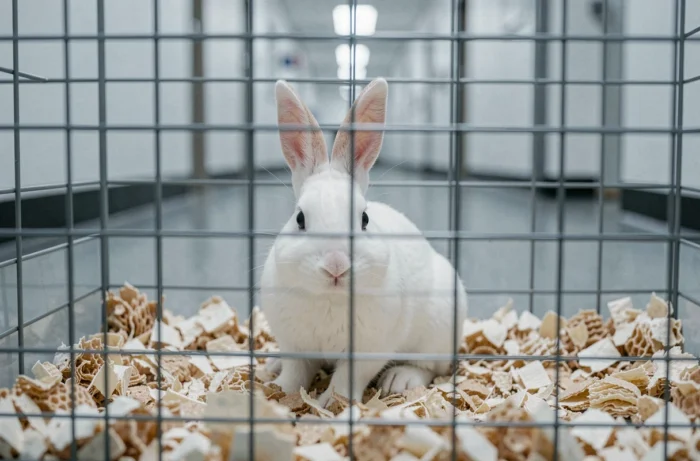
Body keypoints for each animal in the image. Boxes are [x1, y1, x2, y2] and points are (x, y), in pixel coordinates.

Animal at [260, 77, 468, 408]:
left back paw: (400, 379)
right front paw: (279, 393)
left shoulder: (366, 352)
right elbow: (296, 374)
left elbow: (346, 381)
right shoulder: (295, 345)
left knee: (430, 368)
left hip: (438, 333)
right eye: (300, 219)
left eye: (365, 219)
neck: (331, 299)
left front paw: (331, 405)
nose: (336, 265)